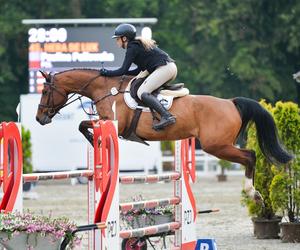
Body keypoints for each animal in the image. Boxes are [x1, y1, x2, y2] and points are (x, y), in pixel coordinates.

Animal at [35, 69, 292, 203]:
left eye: (45, 91)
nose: (39, 118)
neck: (104, 90)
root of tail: (231, 102)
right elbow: (82, 124)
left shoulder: (114, 124)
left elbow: (83, 125)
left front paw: (94, 140)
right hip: (218, 145)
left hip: (216, 146)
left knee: (250, 156)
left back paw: (252, 192)